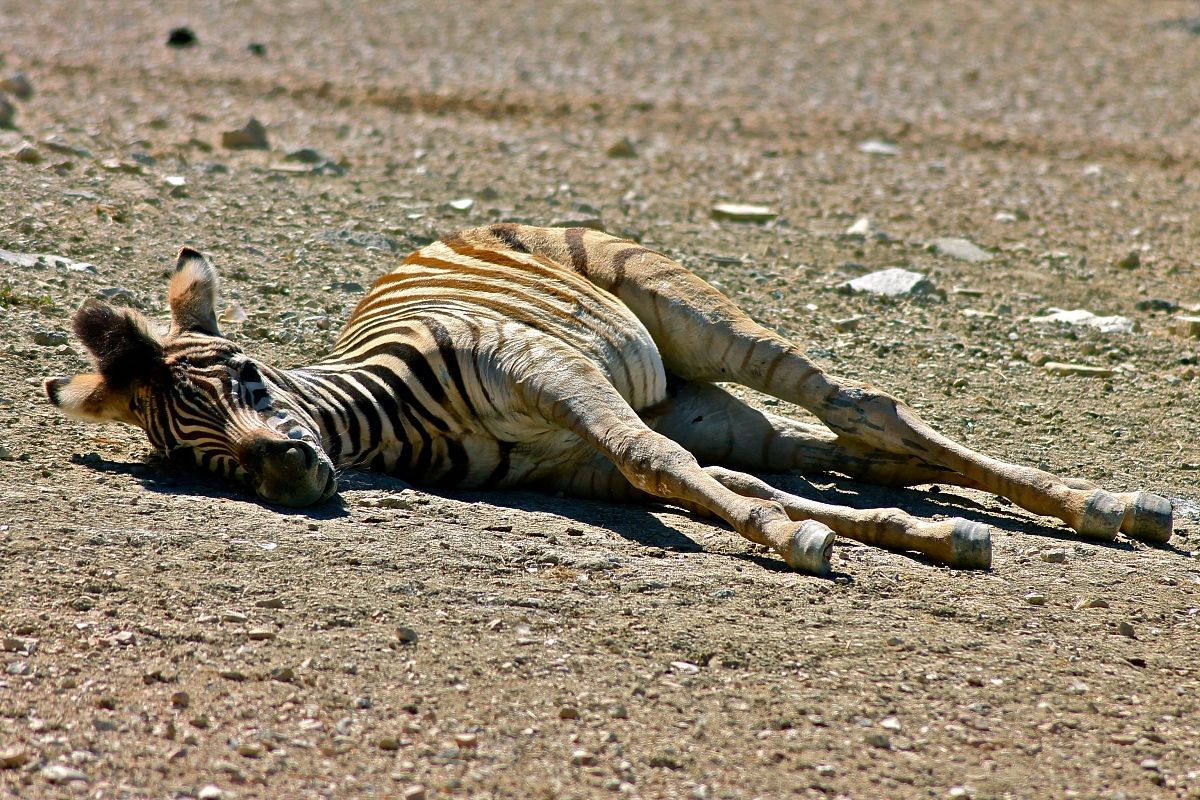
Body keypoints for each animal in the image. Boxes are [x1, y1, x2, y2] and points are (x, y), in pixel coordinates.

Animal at [44, 224, 1173, 575]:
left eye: (244, 375)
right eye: (197, 459)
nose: (286, 474)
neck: (397, 410)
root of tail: (445, 232)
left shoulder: (566, 384)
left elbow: (671, 472)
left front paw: (795, 543)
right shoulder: (579, 462)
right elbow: (721, 486)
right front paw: (903, 537)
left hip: (689, 319)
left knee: (862, 405)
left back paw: (1113, 507)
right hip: (698, 400)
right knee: (843, 450)